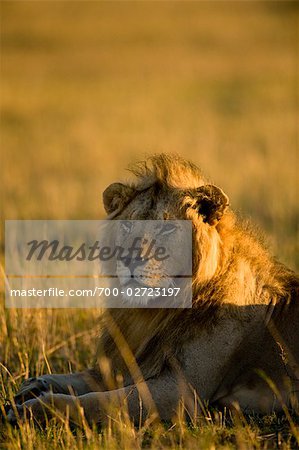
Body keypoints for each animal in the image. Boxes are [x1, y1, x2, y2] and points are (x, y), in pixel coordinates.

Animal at [7, 154, 299, 426]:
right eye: (127, 224)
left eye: (168, 227)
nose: (129, 258)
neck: (153, 313)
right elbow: (81, 378)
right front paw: (35, 385)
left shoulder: (179, 392)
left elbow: (96, 401)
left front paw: (32, 409)